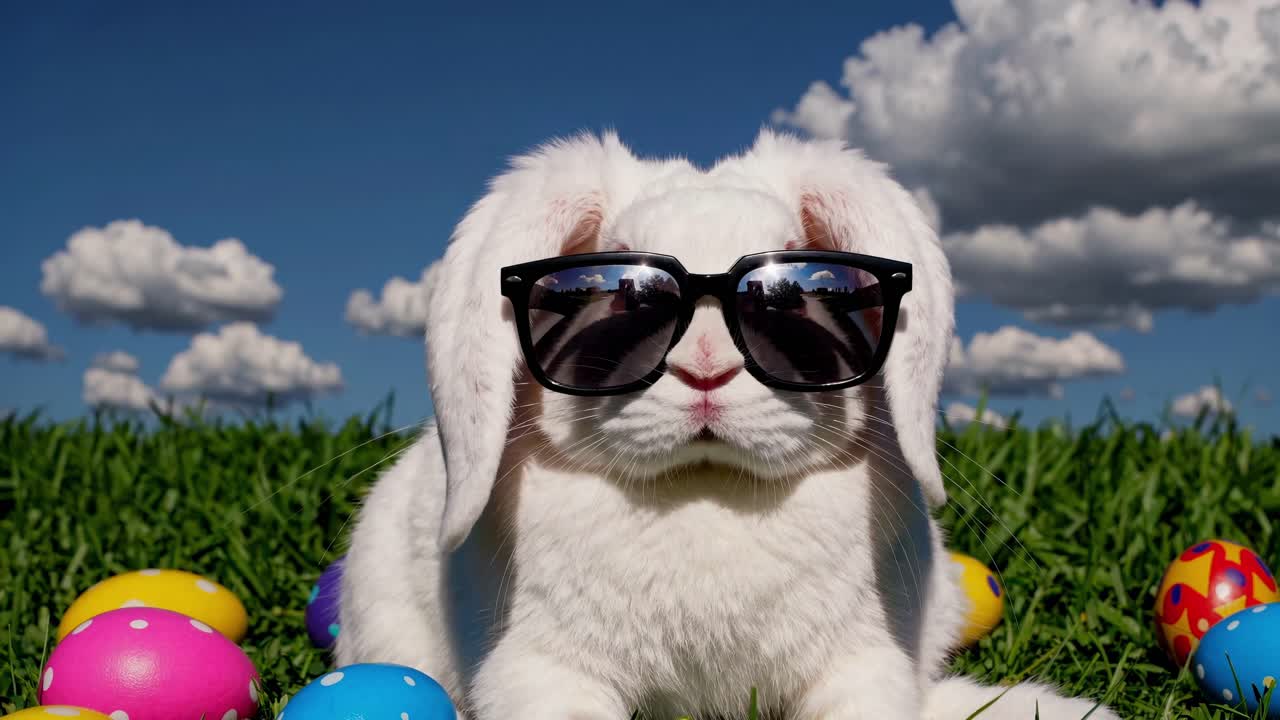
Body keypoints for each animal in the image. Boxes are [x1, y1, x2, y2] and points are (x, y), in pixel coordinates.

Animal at [334, 129, 1122, 720]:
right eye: (615, 296)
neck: (706, 491)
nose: (707, 368)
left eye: (799, 296)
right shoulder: (539, 672)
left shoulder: (864, 667)